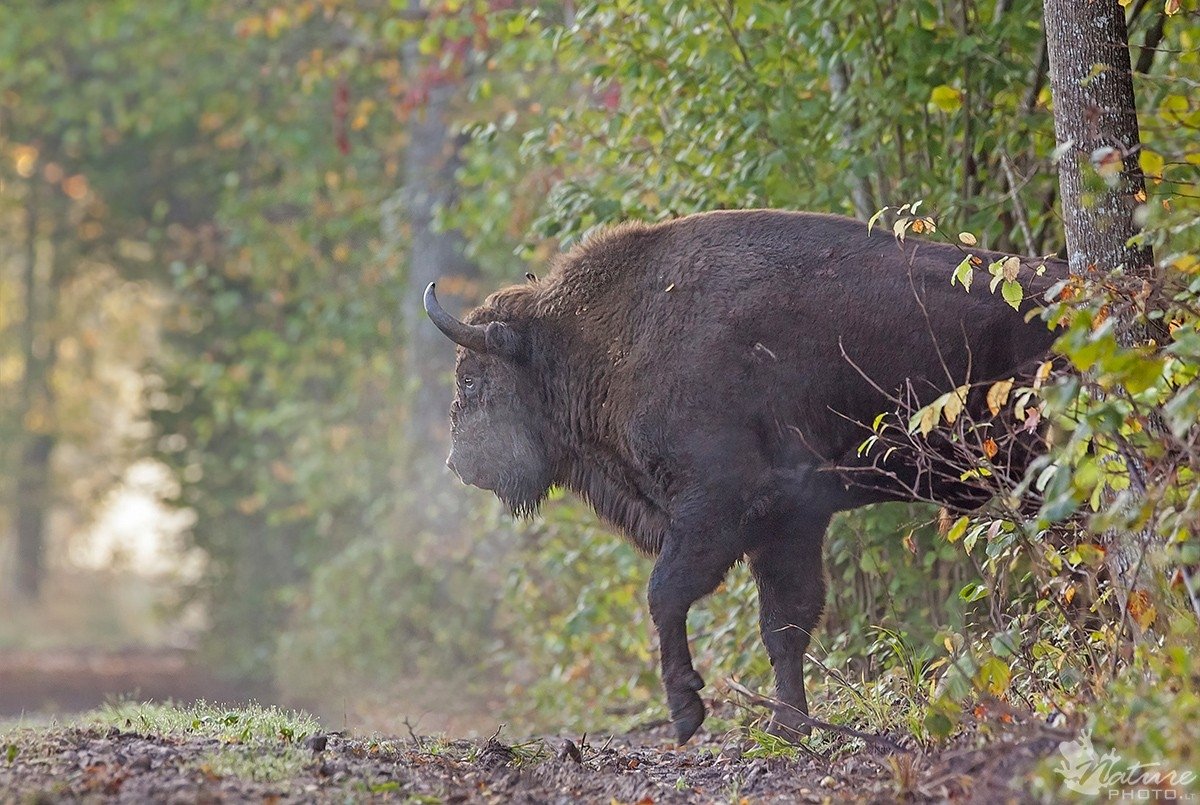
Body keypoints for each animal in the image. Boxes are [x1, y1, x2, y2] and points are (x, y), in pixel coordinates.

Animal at [427, 207, 1065, 743]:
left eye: (471, 379)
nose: (459, 464)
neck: (600, 342)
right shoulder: (790, 523)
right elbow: (784, 624)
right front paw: (788, 726)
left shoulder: (719, 508)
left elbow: (667, 593)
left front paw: (687, 713)